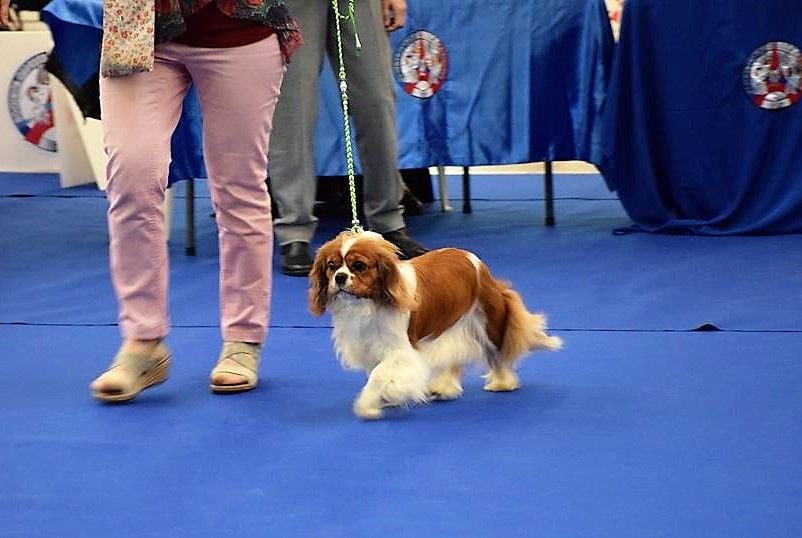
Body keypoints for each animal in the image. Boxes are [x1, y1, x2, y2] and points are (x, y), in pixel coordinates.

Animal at [309, 230, 562, 419]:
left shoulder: (402, 350)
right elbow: (376, 372)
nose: (340, 278)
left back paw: (503, 383)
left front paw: (374, 402)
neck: (370, 304)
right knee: (454, 357)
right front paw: (382, 399)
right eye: (331, 266)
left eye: (359, 266)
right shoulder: (371, 346)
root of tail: (475, 261)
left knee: (496, 355)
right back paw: (444, 387)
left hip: (488, 323)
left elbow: (380, 374)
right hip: (451, 327)